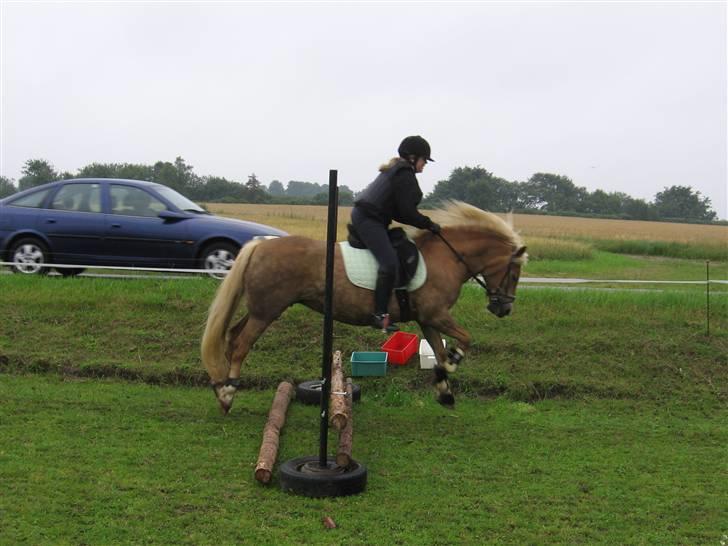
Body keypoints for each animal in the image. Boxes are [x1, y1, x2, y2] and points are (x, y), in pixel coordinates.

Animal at [202, 200, 528, 412]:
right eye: (514, 273)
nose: (504, 309)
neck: (447, 258)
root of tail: (261, 243)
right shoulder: (437, 314)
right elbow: (465, 339)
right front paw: (453, 362)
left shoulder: (428, 319)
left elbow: (437, 350)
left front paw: (444, 389)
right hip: (267, 311)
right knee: (241, 344)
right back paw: (228, 392)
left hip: (260, 309)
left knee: (231, 336)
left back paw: (221, 387)